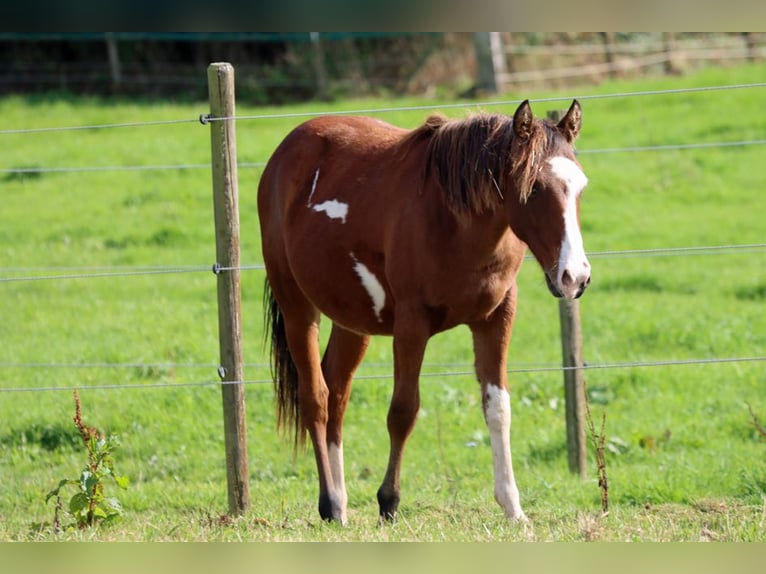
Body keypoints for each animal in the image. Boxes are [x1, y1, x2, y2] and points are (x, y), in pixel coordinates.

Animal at [257, 99, 591, 524]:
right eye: (534, 188)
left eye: (580, 186)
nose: (575, 276)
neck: (455, 221)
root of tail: (285, 151)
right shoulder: (411, 324)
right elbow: (403, 410)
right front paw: (389, 502)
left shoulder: (495, 319)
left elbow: (498, 408)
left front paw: (513, 508)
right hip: (297, 305)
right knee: (315, 396)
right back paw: (330, 502)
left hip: (353, 322)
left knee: (337, 393)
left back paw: (341, 502)